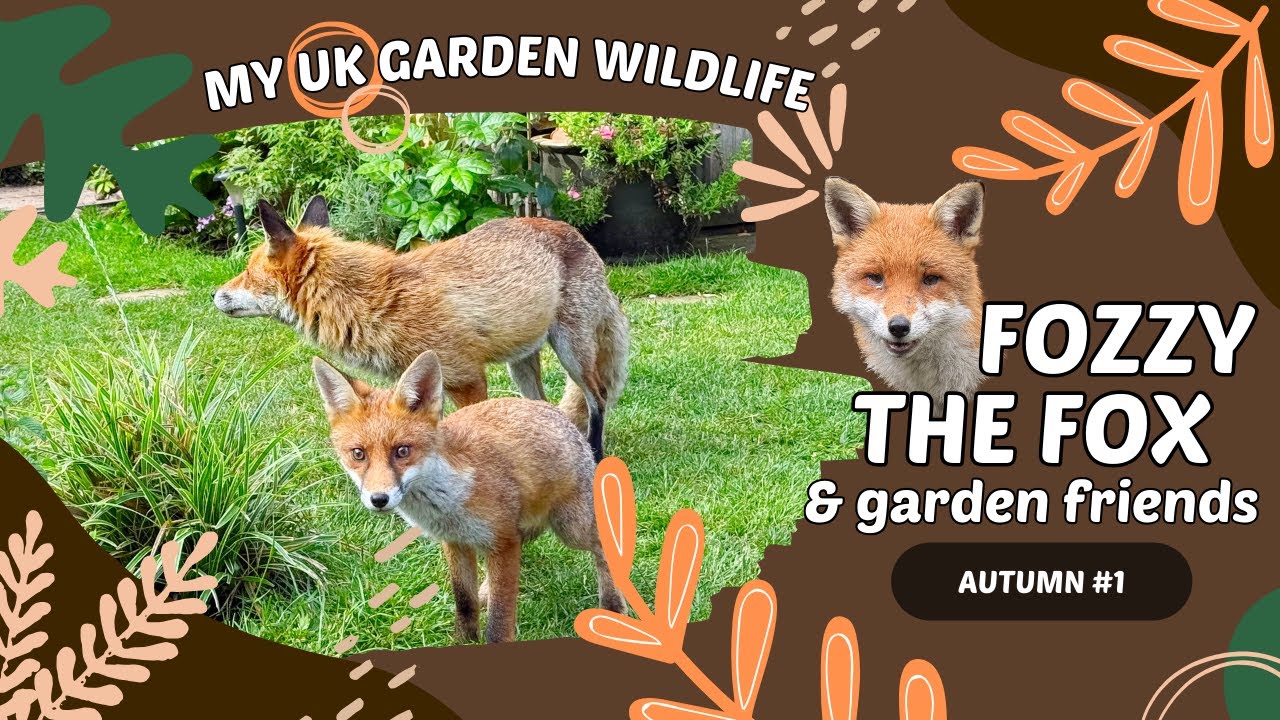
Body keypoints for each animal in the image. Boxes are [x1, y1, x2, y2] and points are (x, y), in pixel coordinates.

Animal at [213, 196, 628, 461]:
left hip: (572, 352)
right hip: (522, 363)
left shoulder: (467, 378)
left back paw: (594, 454)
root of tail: (575, 233)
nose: (213, 294)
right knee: (544, 407)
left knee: (598, 397)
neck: (375, 301)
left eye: (247, 273)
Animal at [312, 350, 626, 643]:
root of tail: (550, 409)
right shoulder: (456, 543)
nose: (379, 499)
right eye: (358, 454)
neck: (449, 501)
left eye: (402, 451)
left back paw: (613, 606)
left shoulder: (503, 541)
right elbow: (465, 602)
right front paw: (464, 640)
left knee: (602, 544)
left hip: (570, 526)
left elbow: (499, 621)